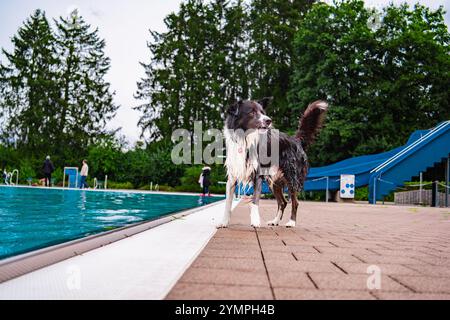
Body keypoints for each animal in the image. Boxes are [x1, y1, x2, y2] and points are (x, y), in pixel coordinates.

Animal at [218, 97, 326, 228]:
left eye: (262, 112)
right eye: (252, 112)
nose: (269, 120)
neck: (245, 138)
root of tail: (296, 140)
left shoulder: (257, 175)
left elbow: (255, 201)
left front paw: (255, 221)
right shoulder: (232, 176)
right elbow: (228, 203)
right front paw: (223, 222)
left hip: (291, 177)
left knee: (295, 202)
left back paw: (291, 222)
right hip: (274, 182)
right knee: (283, 202)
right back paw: (275, 221)